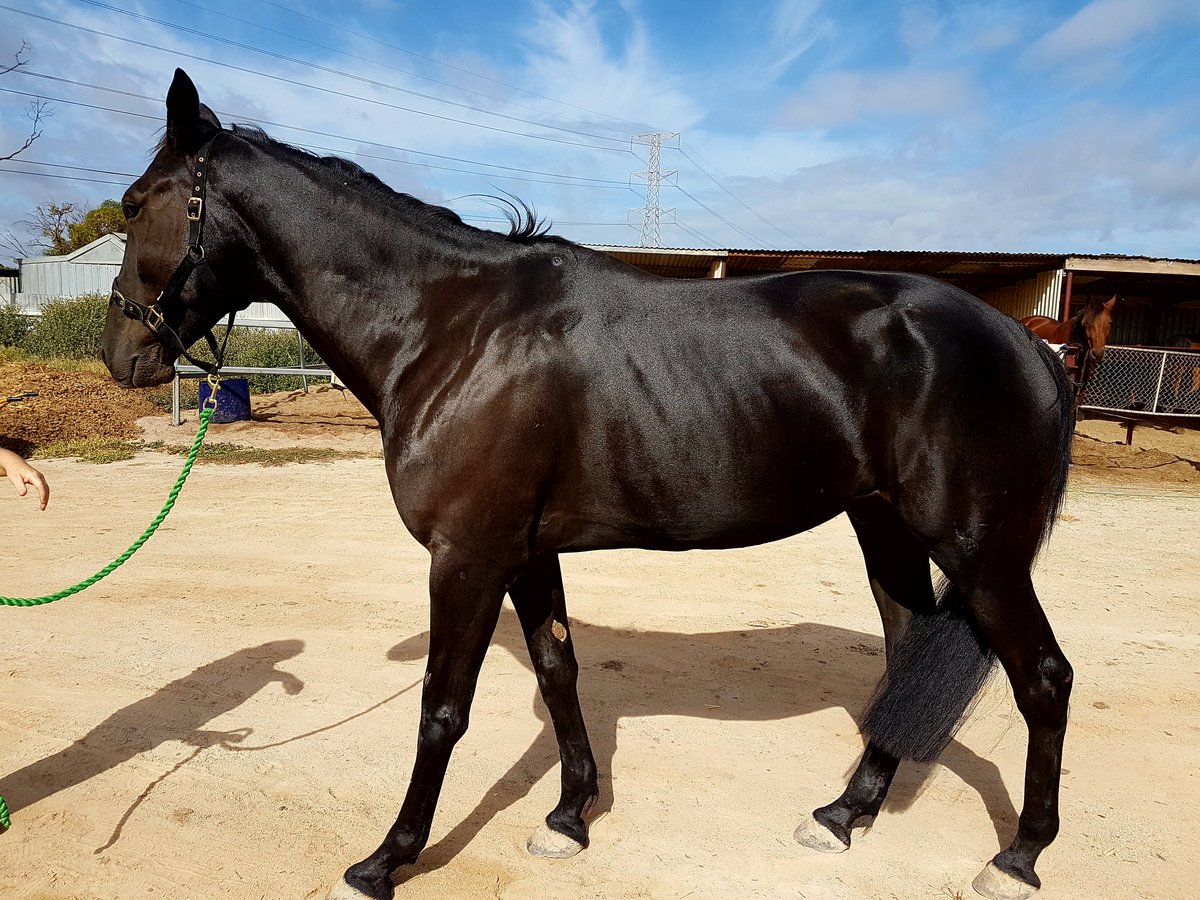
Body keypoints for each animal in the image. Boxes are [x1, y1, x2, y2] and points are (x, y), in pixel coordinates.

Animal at [98, 70, 1076, 900]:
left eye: (136, 204)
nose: (121, 355)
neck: (450, 328)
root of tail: (1025, 341)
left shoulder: (468, 557)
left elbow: (442, 709)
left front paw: (386, 860)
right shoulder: (527, 555)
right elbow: (559, 671)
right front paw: (570, 818)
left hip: (984, 556)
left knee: (1045, 680)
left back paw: (1017, 858)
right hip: (887, 529)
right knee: (905, 660)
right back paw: (842, 815)